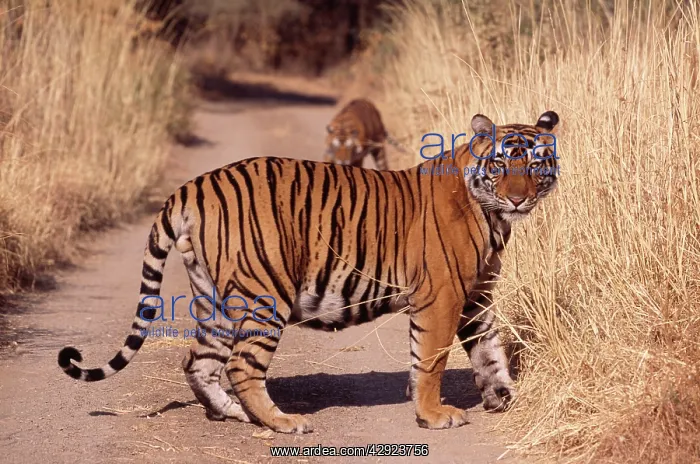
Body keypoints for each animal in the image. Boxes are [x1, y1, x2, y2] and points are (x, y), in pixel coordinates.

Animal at [58, 110, 560, 434]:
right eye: (501, 164)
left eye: (536, 165)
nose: (518, 199)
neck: (493, 215)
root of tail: (193, 185)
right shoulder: (442, 296)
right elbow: (432, 359)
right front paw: (433, 414)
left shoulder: (477, 296)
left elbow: (489, 351)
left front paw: (503, 397)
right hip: (265, 294)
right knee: (240, 364)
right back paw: (281, 422)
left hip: (214, 297)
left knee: (199, 362)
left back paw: (233, 414)